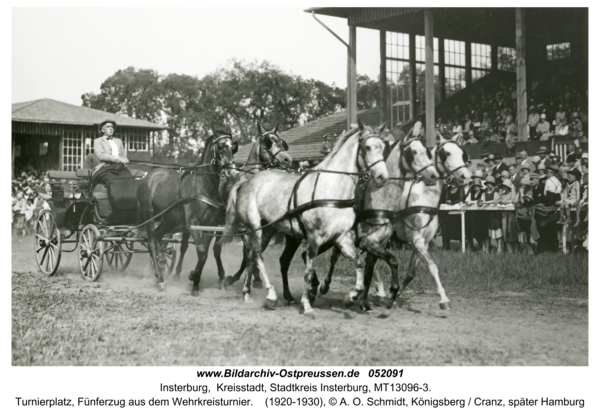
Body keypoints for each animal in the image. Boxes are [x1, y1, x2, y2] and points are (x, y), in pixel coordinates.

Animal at [137, 128, 238, 294]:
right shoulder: (192, 224)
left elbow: (205, 253)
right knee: (151, 242)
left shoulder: (209, 227)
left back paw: (163, 264)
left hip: (169, 218)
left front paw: (195, 282)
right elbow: (202, 251)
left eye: (233, 147)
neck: (202, 186)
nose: (232, 173)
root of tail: (148, 176)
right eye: (221, 146)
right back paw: (160, 278)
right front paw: (193, 276)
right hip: (149, 214)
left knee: (158, 235)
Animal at [171, 122, 292, 286]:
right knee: (184, 246)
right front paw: (236, 278)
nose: (287, 159)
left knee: (215, 249)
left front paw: (255, 278)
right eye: (268, 142)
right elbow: (247, 253)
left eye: (280, 142)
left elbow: (252, 253)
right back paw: (178, 273)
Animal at [223, 121, 392, 318]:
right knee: (257, 255)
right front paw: (307, 304)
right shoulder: (314, 238)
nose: (382, 176)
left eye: (382, 147)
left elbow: (358, 261)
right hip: (254, 227)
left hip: (268, 230)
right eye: (367, 147)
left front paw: (351, 297)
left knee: (252, 256)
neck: (332, 189)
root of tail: (246, 182)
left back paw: (247, 293)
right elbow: (309, 271)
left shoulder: (341, 237)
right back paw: (271, 295)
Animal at [360, 138, 474, 310]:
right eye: (446, 153)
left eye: (462, 153)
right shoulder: (417, 241)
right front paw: (443, 299)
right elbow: (433, 267)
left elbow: (411, 273)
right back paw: (377, 290)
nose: (465, 176)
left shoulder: (422, 243)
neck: (423, 198)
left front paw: (395, 295)